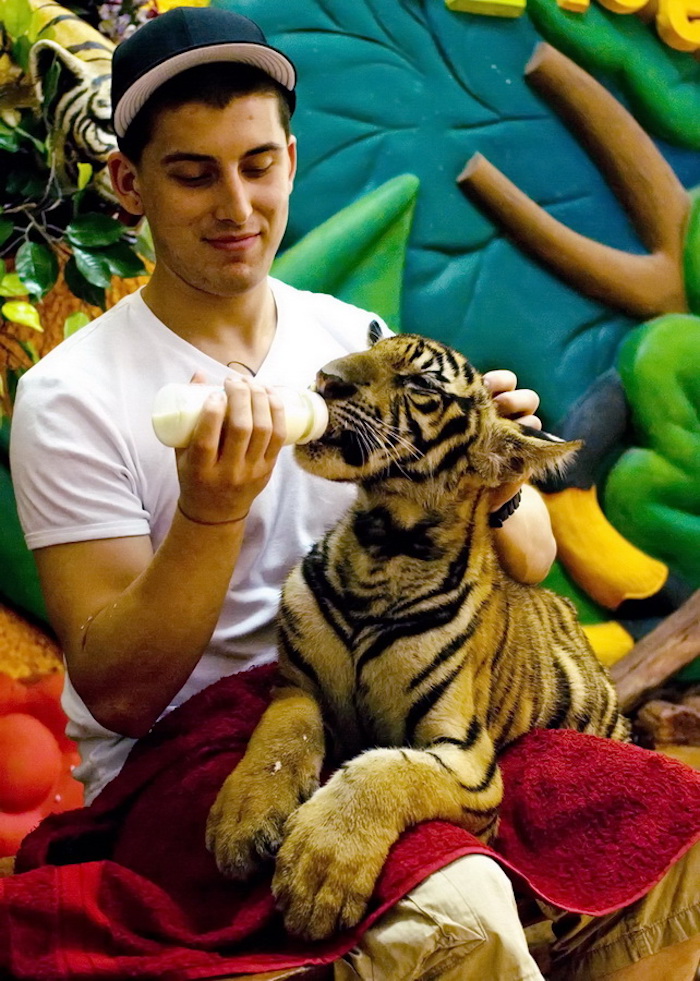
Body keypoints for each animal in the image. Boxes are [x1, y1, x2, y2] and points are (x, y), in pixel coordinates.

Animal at [206, 332, 628, 940]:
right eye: (374, 348)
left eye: (420, 382)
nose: (326, 378)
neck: (382, 546)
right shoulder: (297, 685)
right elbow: (281, 740)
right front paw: (241, 822)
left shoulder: (470, 760)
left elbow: (385, 771)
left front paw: (318, 872)